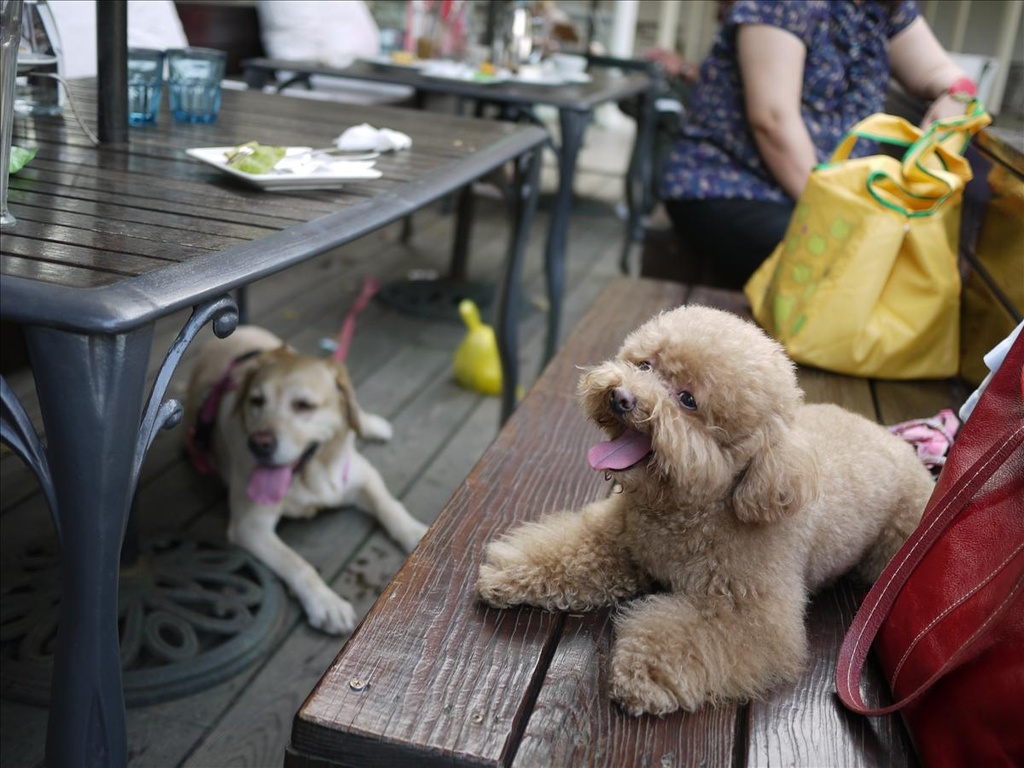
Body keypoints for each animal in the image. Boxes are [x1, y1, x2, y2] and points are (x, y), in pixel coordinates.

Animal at [186, 325, 425, 630]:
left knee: (354, 411)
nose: (258, 444)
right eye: (256, 401)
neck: (311, 474)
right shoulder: (250, 525)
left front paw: (416, 532)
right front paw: (326, 602)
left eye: (304, 405)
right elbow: (297, 563)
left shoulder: (363, 475)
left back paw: (371, 424)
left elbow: (390, 506)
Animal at [475, 305, 933, 716]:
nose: (621, 397)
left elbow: (690, 637)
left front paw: (643, 671)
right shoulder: (616, 539)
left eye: (688, 400)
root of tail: (902, 446)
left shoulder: (755, 615)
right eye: (645, 365)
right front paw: (511, 571)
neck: (686, 511)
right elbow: (567, 550)